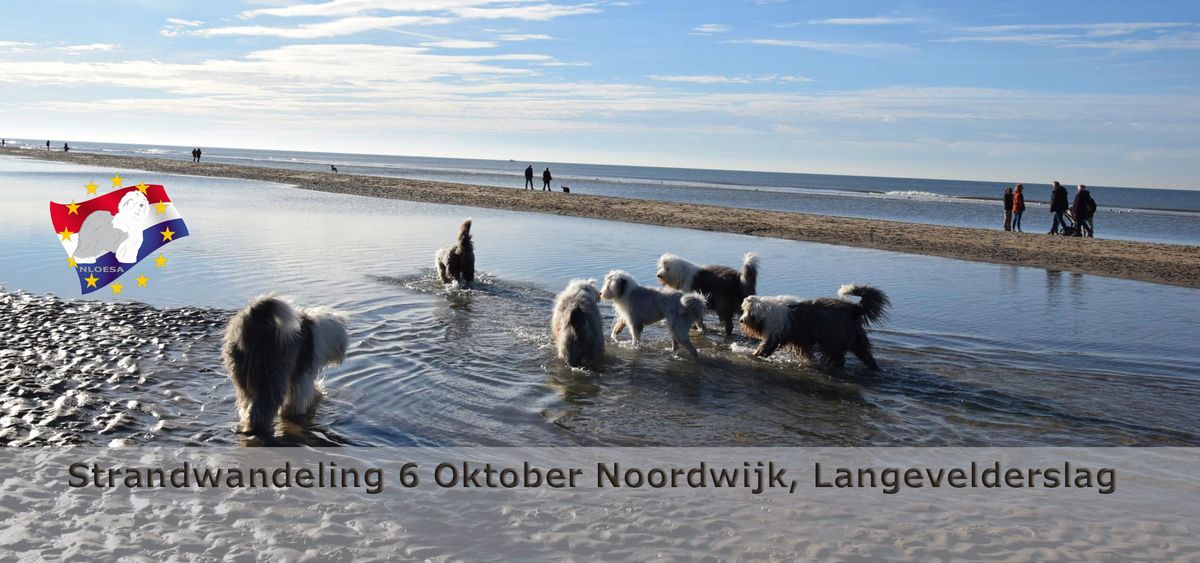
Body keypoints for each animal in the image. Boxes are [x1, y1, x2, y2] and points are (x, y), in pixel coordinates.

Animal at [222, 294, 350, 434]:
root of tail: (253, 324)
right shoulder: (304, 372)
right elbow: (297, 398)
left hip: (241, 375)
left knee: (246, 404)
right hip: (274, 374)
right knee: (261, 409)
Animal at [739, 285, 892, 369]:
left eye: (747, 311)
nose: (741, 320)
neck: (766, 311)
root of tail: (854, 308)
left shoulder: (775, 333)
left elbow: (765, 348)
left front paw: (753, 355)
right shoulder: (801, 340)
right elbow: (805, 353)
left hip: (834, 340)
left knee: (839, 358)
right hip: (856, 339)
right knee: (866, 355)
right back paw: (873, 368)